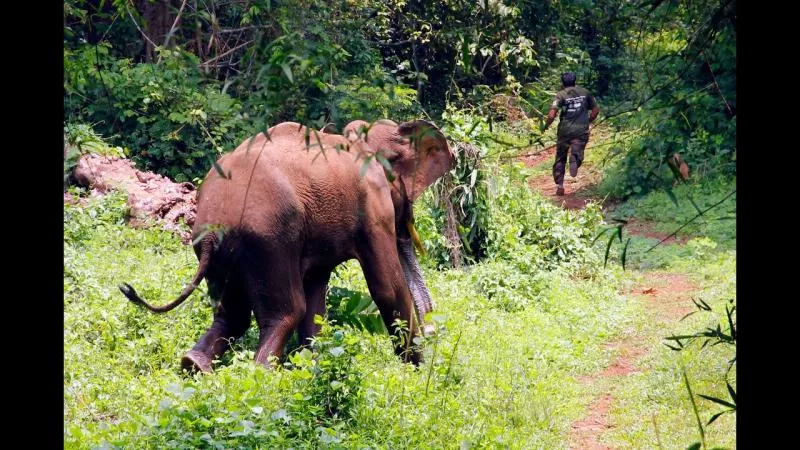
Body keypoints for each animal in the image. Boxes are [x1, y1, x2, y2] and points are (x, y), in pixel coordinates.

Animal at [119, 117, 456, 372]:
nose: (433, 332)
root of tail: (215, 227)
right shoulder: (373, 207)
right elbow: (386, 287)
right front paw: (415, 370)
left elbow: (317, 293)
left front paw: (315, 367)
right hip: (269, 239)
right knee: (288, 309)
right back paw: (262, 373)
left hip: (221, 248)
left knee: (233, 313)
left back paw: (193, 365)